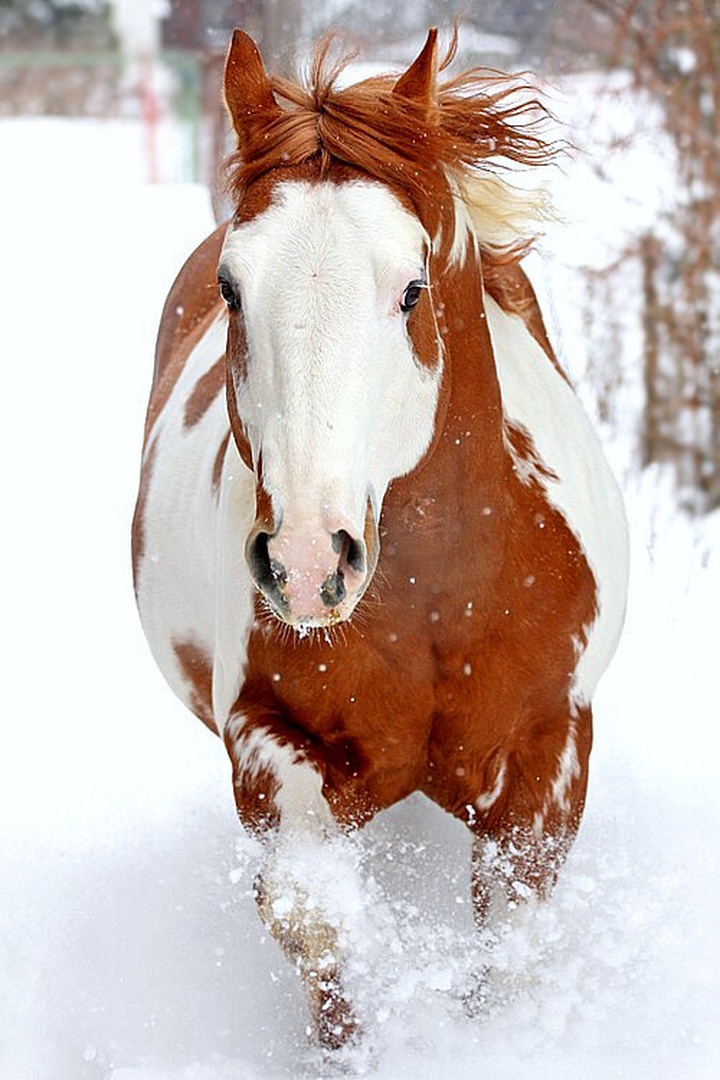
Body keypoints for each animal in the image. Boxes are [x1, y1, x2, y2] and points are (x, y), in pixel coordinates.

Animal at [132, 27, 629, 1049]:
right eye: (232, 288)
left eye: (411, 287)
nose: (306, 561)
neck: (440, 606)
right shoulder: (263, 737)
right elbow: (315, 922)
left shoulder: (551, 748)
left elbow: (508, 938)